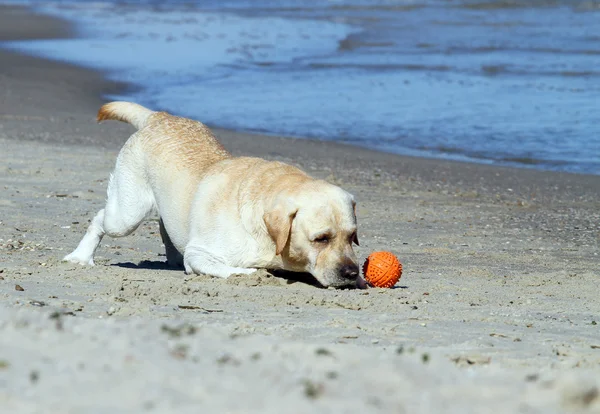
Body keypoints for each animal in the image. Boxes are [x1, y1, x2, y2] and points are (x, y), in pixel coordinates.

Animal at [63, 102, 360, 288]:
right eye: (321, 238)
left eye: (351, 236)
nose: (352, 272)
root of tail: (158, 116)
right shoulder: (200, 252)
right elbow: (225, 267)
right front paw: (246, 272)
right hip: (127, 215)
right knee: (101, 219)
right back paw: (81, 257)